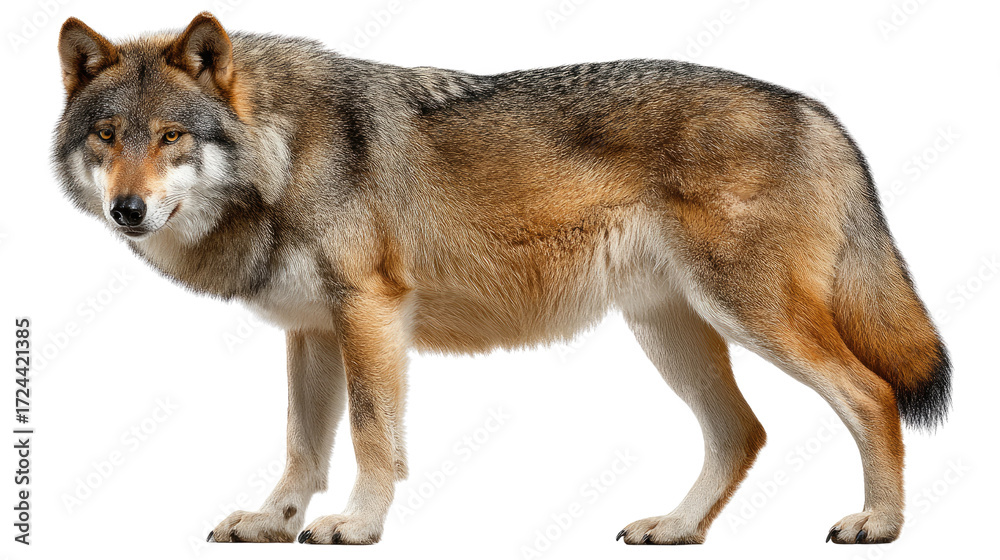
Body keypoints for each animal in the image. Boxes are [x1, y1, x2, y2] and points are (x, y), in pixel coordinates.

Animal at [54, 12, 950, 545]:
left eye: (172, 136)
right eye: (108, 134)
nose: (128, 209)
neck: (284, 150)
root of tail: (815, 109)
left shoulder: (369, 311)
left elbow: (372, 436)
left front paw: (358, 525)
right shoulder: (313, 331)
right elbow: (302, 447)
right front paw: (274, 522)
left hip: (747, 317)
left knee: (869, 393)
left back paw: (878, 523)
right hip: (671, 332)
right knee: (744, 433)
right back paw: (676, 528)